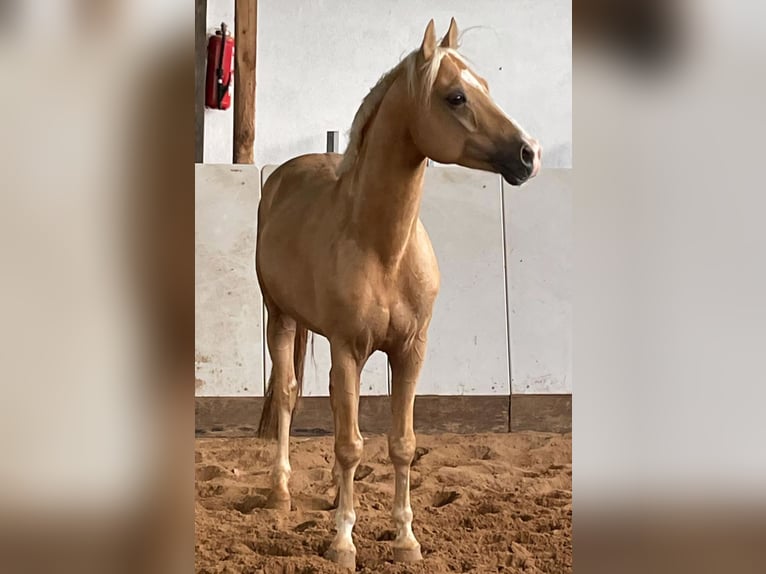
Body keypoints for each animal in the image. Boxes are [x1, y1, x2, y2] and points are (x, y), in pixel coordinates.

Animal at [255, 17, 541, 570]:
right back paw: (279, 494)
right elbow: (350, 444)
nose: (529, 154)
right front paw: (343, 542)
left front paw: (405, 538)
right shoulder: (348, 348)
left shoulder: (410, 351)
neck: (382, 247)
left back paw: (329, 495)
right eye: (456, 96)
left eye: (486, 86)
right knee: (287, 395)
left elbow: (401, 443)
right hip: (280, 319)